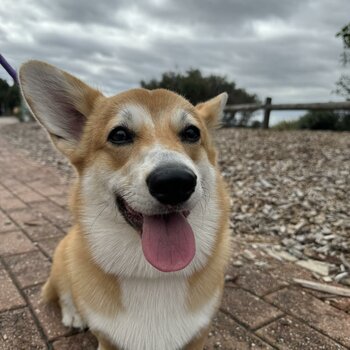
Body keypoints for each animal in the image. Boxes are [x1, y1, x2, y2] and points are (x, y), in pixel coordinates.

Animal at [19, 60, 232, 350]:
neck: (152, 276)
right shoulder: (107, 340)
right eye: (119, 134)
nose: (175, 182)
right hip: (64, 256)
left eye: (191, 132)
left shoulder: (198, 336)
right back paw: (74, 314)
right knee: (64, 292)